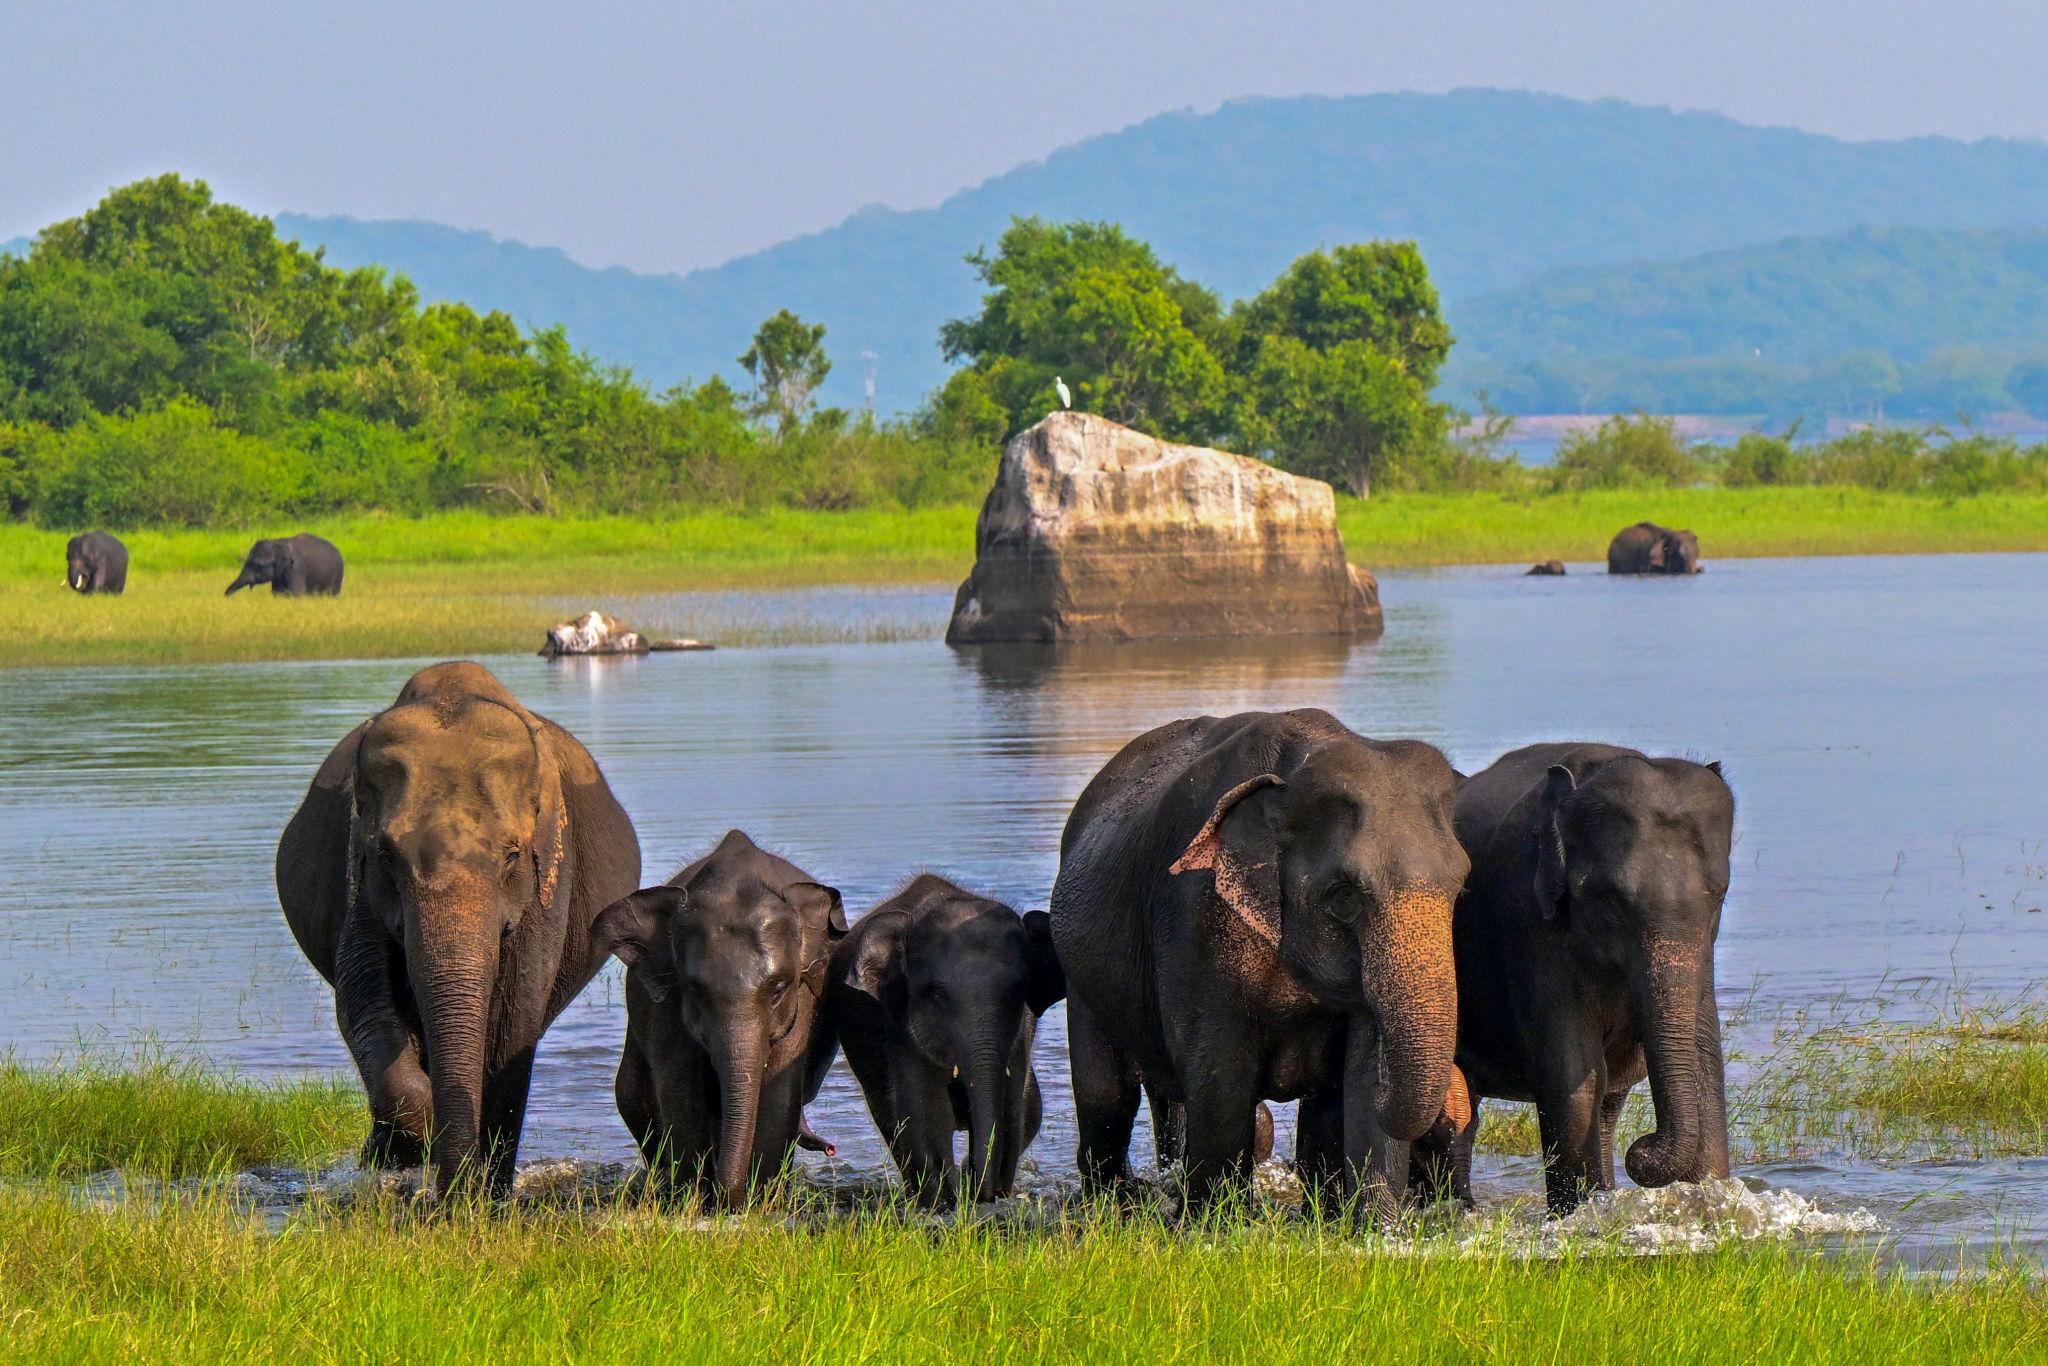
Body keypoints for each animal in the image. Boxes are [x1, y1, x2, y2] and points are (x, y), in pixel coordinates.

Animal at [275, 661, 642, 1195]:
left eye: (512, 856)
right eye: (386, 855)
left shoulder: (549, 878)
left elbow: (512, 1019)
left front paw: (472, 1196)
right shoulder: (358, 873)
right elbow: (363, 1003)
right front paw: (422, 1149)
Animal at [591, 829, 848, 1208]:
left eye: (779, 988)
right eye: (695, 991)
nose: (831, 1149)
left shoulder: (802, 1002)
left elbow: (780, 1088)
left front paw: (760, 1201)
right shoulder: (667, 1006)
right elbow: (679, 1087)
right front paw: (692, 1201)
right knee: (632, 1095)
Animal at [826, 874, 1065, 1206]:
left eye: (1017, 992)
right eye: (937, 996)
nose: (979, 1190)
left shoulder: (1021, 1035)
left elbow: (1012, 1110)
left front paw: (985, 1195)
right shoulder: (899, 1026)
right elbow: (928, 1112)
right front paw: (946, 1203)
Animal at [1051, 708, 1468, 1215]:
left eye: (1460, 887)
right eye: (1344, 895)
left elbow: (1362, 1071)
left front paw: (1374, 1228)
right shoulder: (1197, 915)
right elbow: (1221, 1073)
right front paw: (1211, 1224)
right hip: (1080, 974)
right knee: (1106, 1094)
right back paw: (1116, 1204)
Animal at [1435, 743, 1734, 1214]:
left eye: (1719, 895)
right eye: (1609, 899)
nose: (1641, 1149)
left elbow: (1705, 1061)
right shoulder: (1529, 921)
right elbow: (1574, 1071)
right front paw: (1582, 1213)